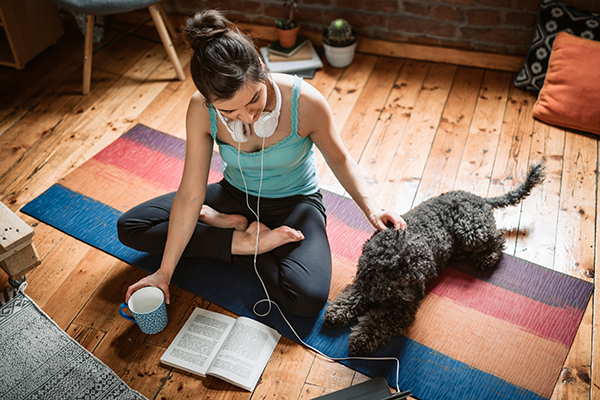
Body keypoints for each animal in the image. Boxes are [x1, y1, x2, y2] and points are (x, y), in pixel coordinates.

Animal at [326, 162, 548, 356]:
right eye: (402, 280)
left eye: (420, 275)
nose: (419, 296)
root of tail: (481, 199)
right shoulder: (366, 283)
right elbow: (352, 296)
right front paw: (337, 311)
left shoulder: (400, 308)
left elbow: (377, 321)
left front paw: (361, 338)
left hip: (470, 229)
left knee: (497, 238)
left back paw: (487, 258)